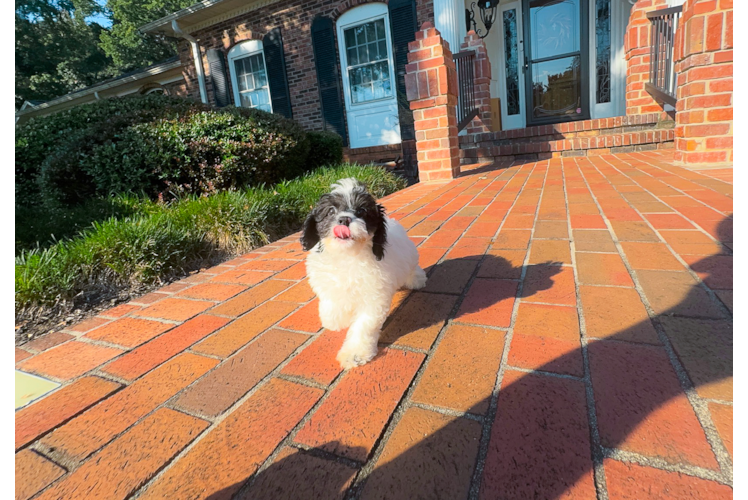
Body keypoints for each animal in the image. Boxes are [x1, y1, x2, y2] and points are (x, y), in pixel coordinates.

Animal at [300, 178, 426, 370]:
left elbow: (363, 325)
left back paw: (417, 279)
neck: (347, 255)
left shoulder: (374, 298)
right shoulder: (327, 281)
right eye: (331, 211)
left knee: (412, 269)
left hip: (410, 257)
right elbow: (330, 303)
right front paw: (336, 320)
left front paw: (355, 354)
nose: (344, 218)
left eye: (361, 211)